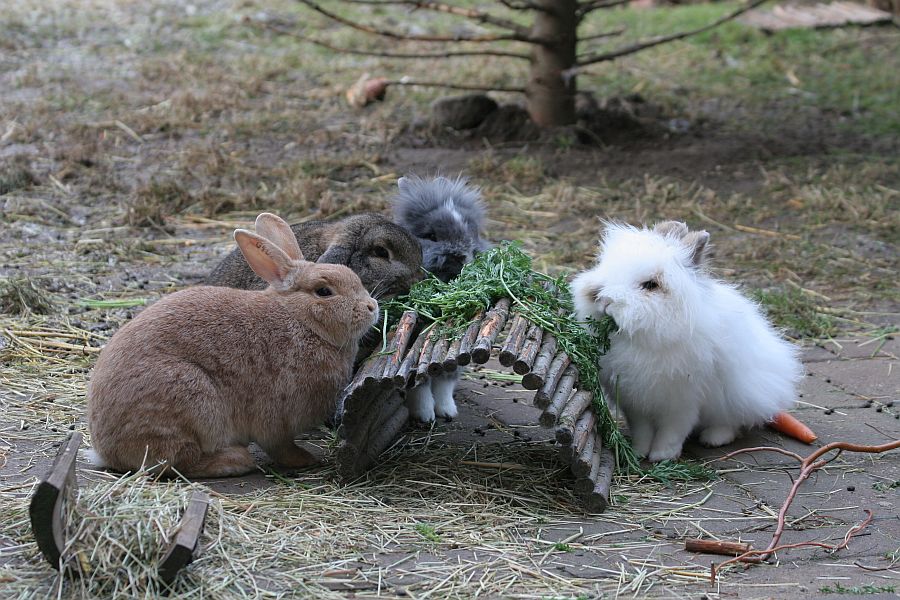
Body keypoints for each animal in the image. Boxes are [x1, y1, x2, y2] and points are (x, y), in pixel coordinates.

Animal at [86, 213, 378, 476]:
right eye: (324, 292)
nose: (372, 307)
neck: (302, 320)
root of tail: (105, 449)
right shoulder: (277, 418)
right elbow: (280, 446)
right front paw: (305, 459)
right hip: (193, 403)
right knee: (177, 460)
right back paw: (235, 461)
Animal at [394, 176, 492, 422]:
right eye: (431, 236)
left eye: (473, 234)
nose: (462, 256)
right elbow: (419, 383)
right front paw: (425, 415)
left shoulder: (455, 356)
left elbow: (445, 382)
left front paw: (447, 411)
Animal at [572, 223, 800, 462]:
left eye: (650, 285)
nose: (604, 300)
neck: (646, 339)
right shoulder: (635, 402)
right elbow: (642, 429)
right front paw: (638, 452)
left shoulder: (684, 401)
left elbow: (673, 430)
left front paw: (662, 456)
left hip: (742, 394)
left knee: (733, 420)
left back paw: (714, 438)